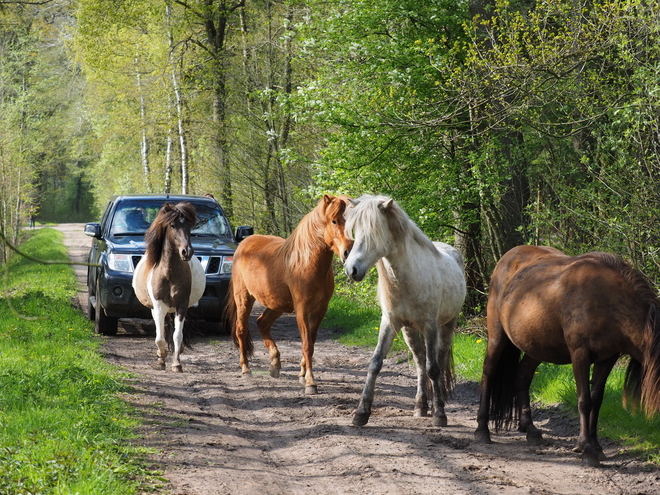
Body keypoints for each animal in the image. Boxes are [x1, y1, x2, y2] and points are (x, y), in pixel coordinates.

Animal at [226, 194, 354, 396]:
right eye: (334, 220)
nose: (348, 253)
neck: (306, 262)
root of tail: (244, 244)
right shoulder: (302, 310)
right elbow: (307, 345)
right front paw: (310, 383)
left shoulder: (320, 311)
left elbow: (312, 342)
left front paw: (302, 375)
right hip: (244, 299)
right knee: (241, 329)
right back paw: (246, 370)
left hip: (276, 305)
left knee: (262, 323)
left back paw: (274, 364)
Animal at [342, 196, 466, 428]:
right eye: (356, 231)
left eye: (374, 232)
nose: (351, 270)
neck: (408, 277)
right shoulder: (390, 323)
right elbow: (375, 363)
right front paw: (361, 413)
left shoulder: (430, 326)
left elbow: (434, 368)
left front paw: (440, 415)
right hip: (410, 331)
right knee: (419, 362)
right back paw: (421, 406)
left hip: (447, 325)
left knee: (438, 359)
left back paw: (437, 404)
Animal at [476, 246, 660, 466]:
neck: (606, 298)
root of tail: (508, 257)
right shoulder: (580, 354)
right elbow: (584, 401)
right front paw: (587, 450)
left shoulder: (607, 358)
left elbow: (596, 400)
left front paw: (595, 446)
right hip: (497, 336)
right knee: (488, 373)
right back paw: (482, 430)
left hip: (536, 345)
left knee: (522, 375)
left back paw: (531, 430)